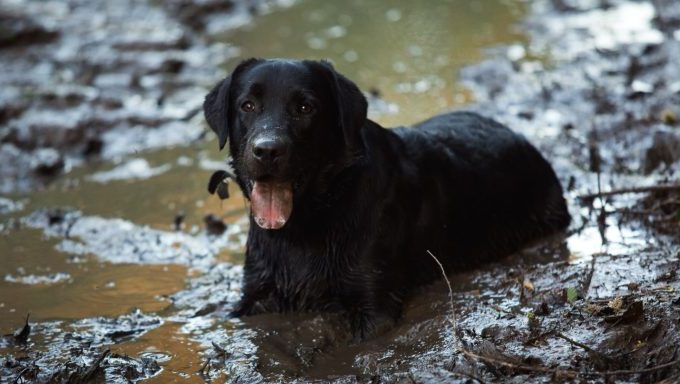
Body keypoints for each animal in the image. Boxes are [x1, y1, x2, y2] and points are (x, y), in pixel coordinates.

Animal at [205, 57, 572, 340]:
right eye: (247, 106)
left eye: (305, 107)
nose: (267, 150)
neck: (306, 224)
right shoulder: (257, 296)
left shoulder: (374, 306)